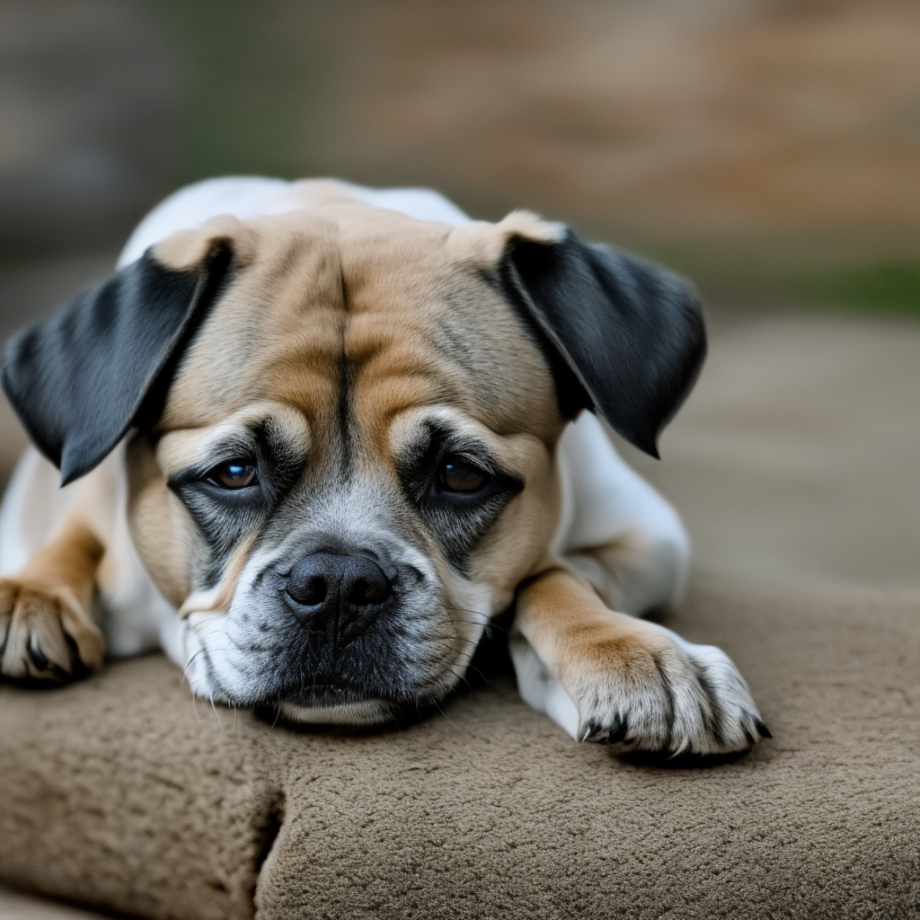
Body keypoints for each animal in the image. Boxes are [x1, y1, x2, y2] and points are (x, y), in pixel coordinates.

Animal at [0, 178, 768, 756]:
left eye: (461, 474)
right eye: (234, 473)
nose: (338, 585)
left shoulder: (649, 539)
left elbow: (556, 574)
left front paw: (631, 653)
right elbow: (73, 537)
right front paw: (31, 592)